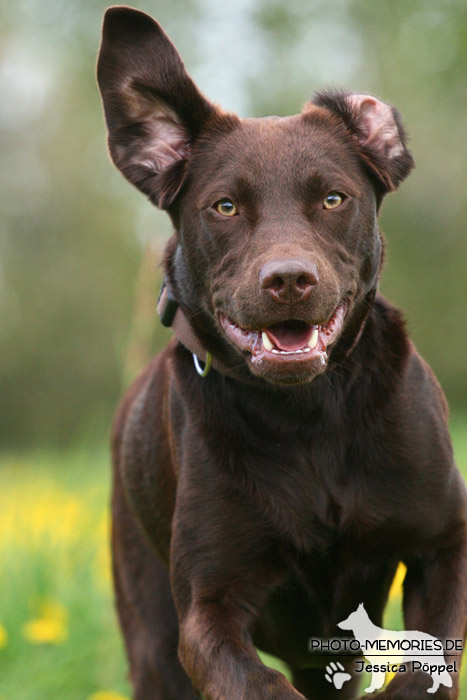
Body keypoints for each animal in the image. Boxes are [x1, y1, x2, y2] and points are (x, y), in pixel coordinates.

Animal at [97, 6, 466, 700]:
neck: (310, 415)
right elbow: (255, 682)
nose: (289, 279)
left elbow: (425, 663)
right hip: (151, 636)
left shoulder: (443, 545)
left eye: (333, 199)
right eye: (225, 206)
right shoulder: (209, 607)